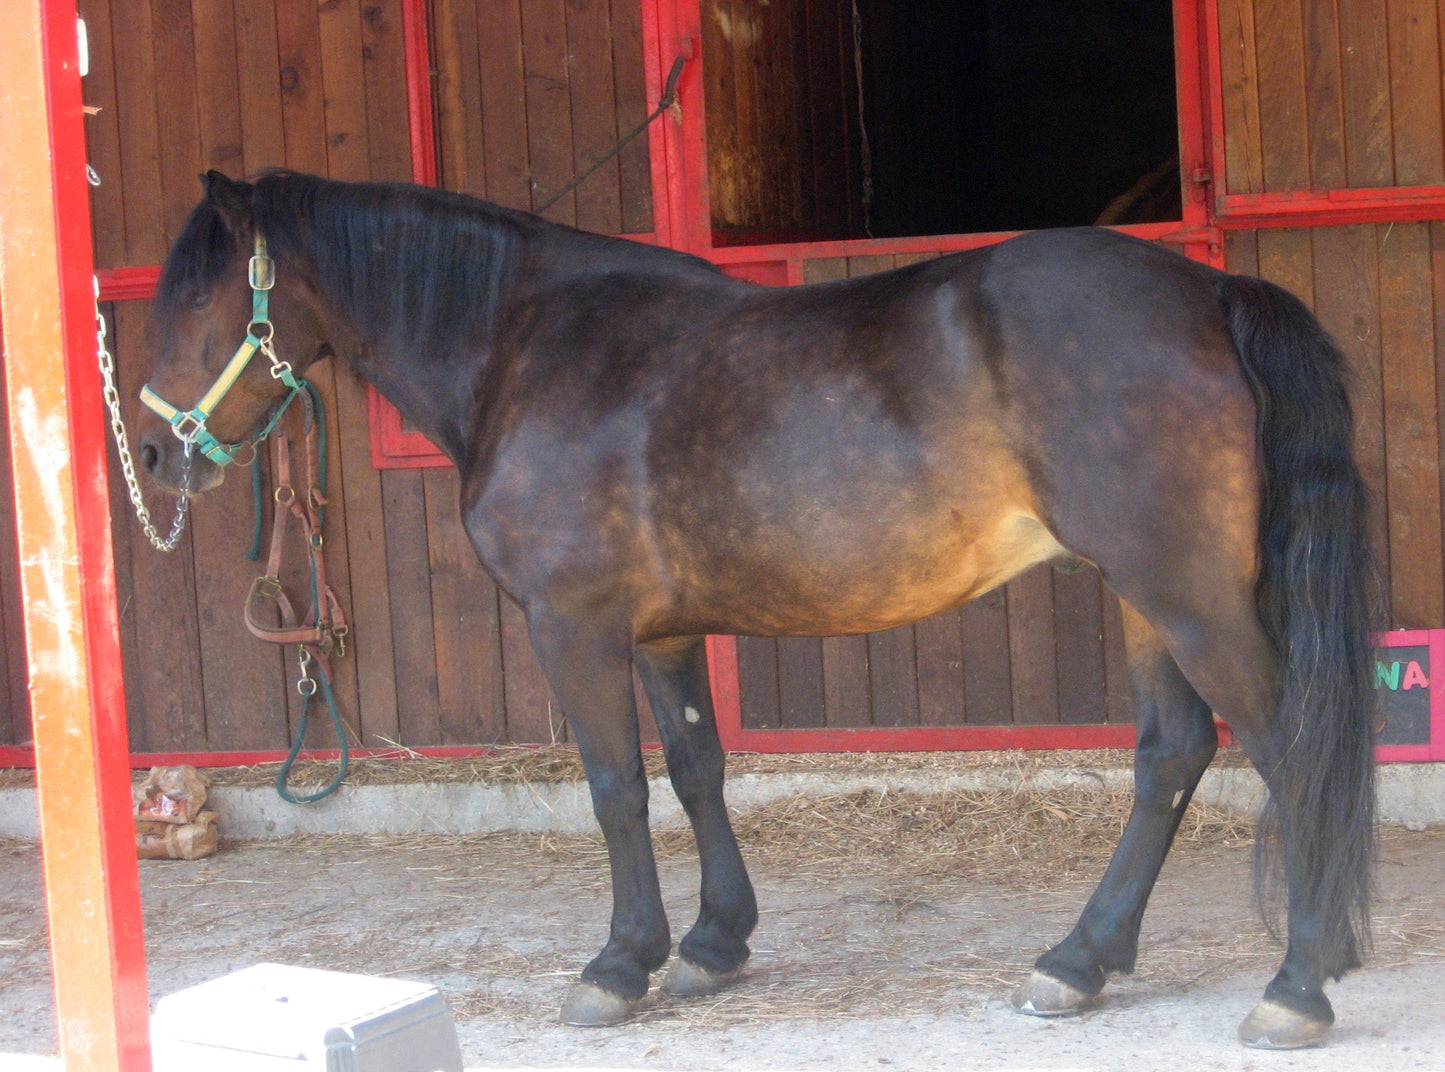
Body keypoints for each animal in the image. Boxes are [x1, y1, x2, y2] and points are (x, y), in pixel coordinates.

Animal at [136, 170, 1377, 1048]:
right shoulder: (665, 633)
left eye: (199, 292)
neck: (527, 349)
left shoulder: (571, 626)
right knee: (1170, 753)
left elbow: (615, 790)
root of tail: (1207, 292)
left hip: (1182, 593)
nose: (151, 451)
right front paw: (710, 942)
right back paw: (1077, 962)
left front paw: (618, 964)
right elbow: (697, 768)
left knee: (1285, 744)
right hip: (1143, 596)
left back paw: (1296, 983)